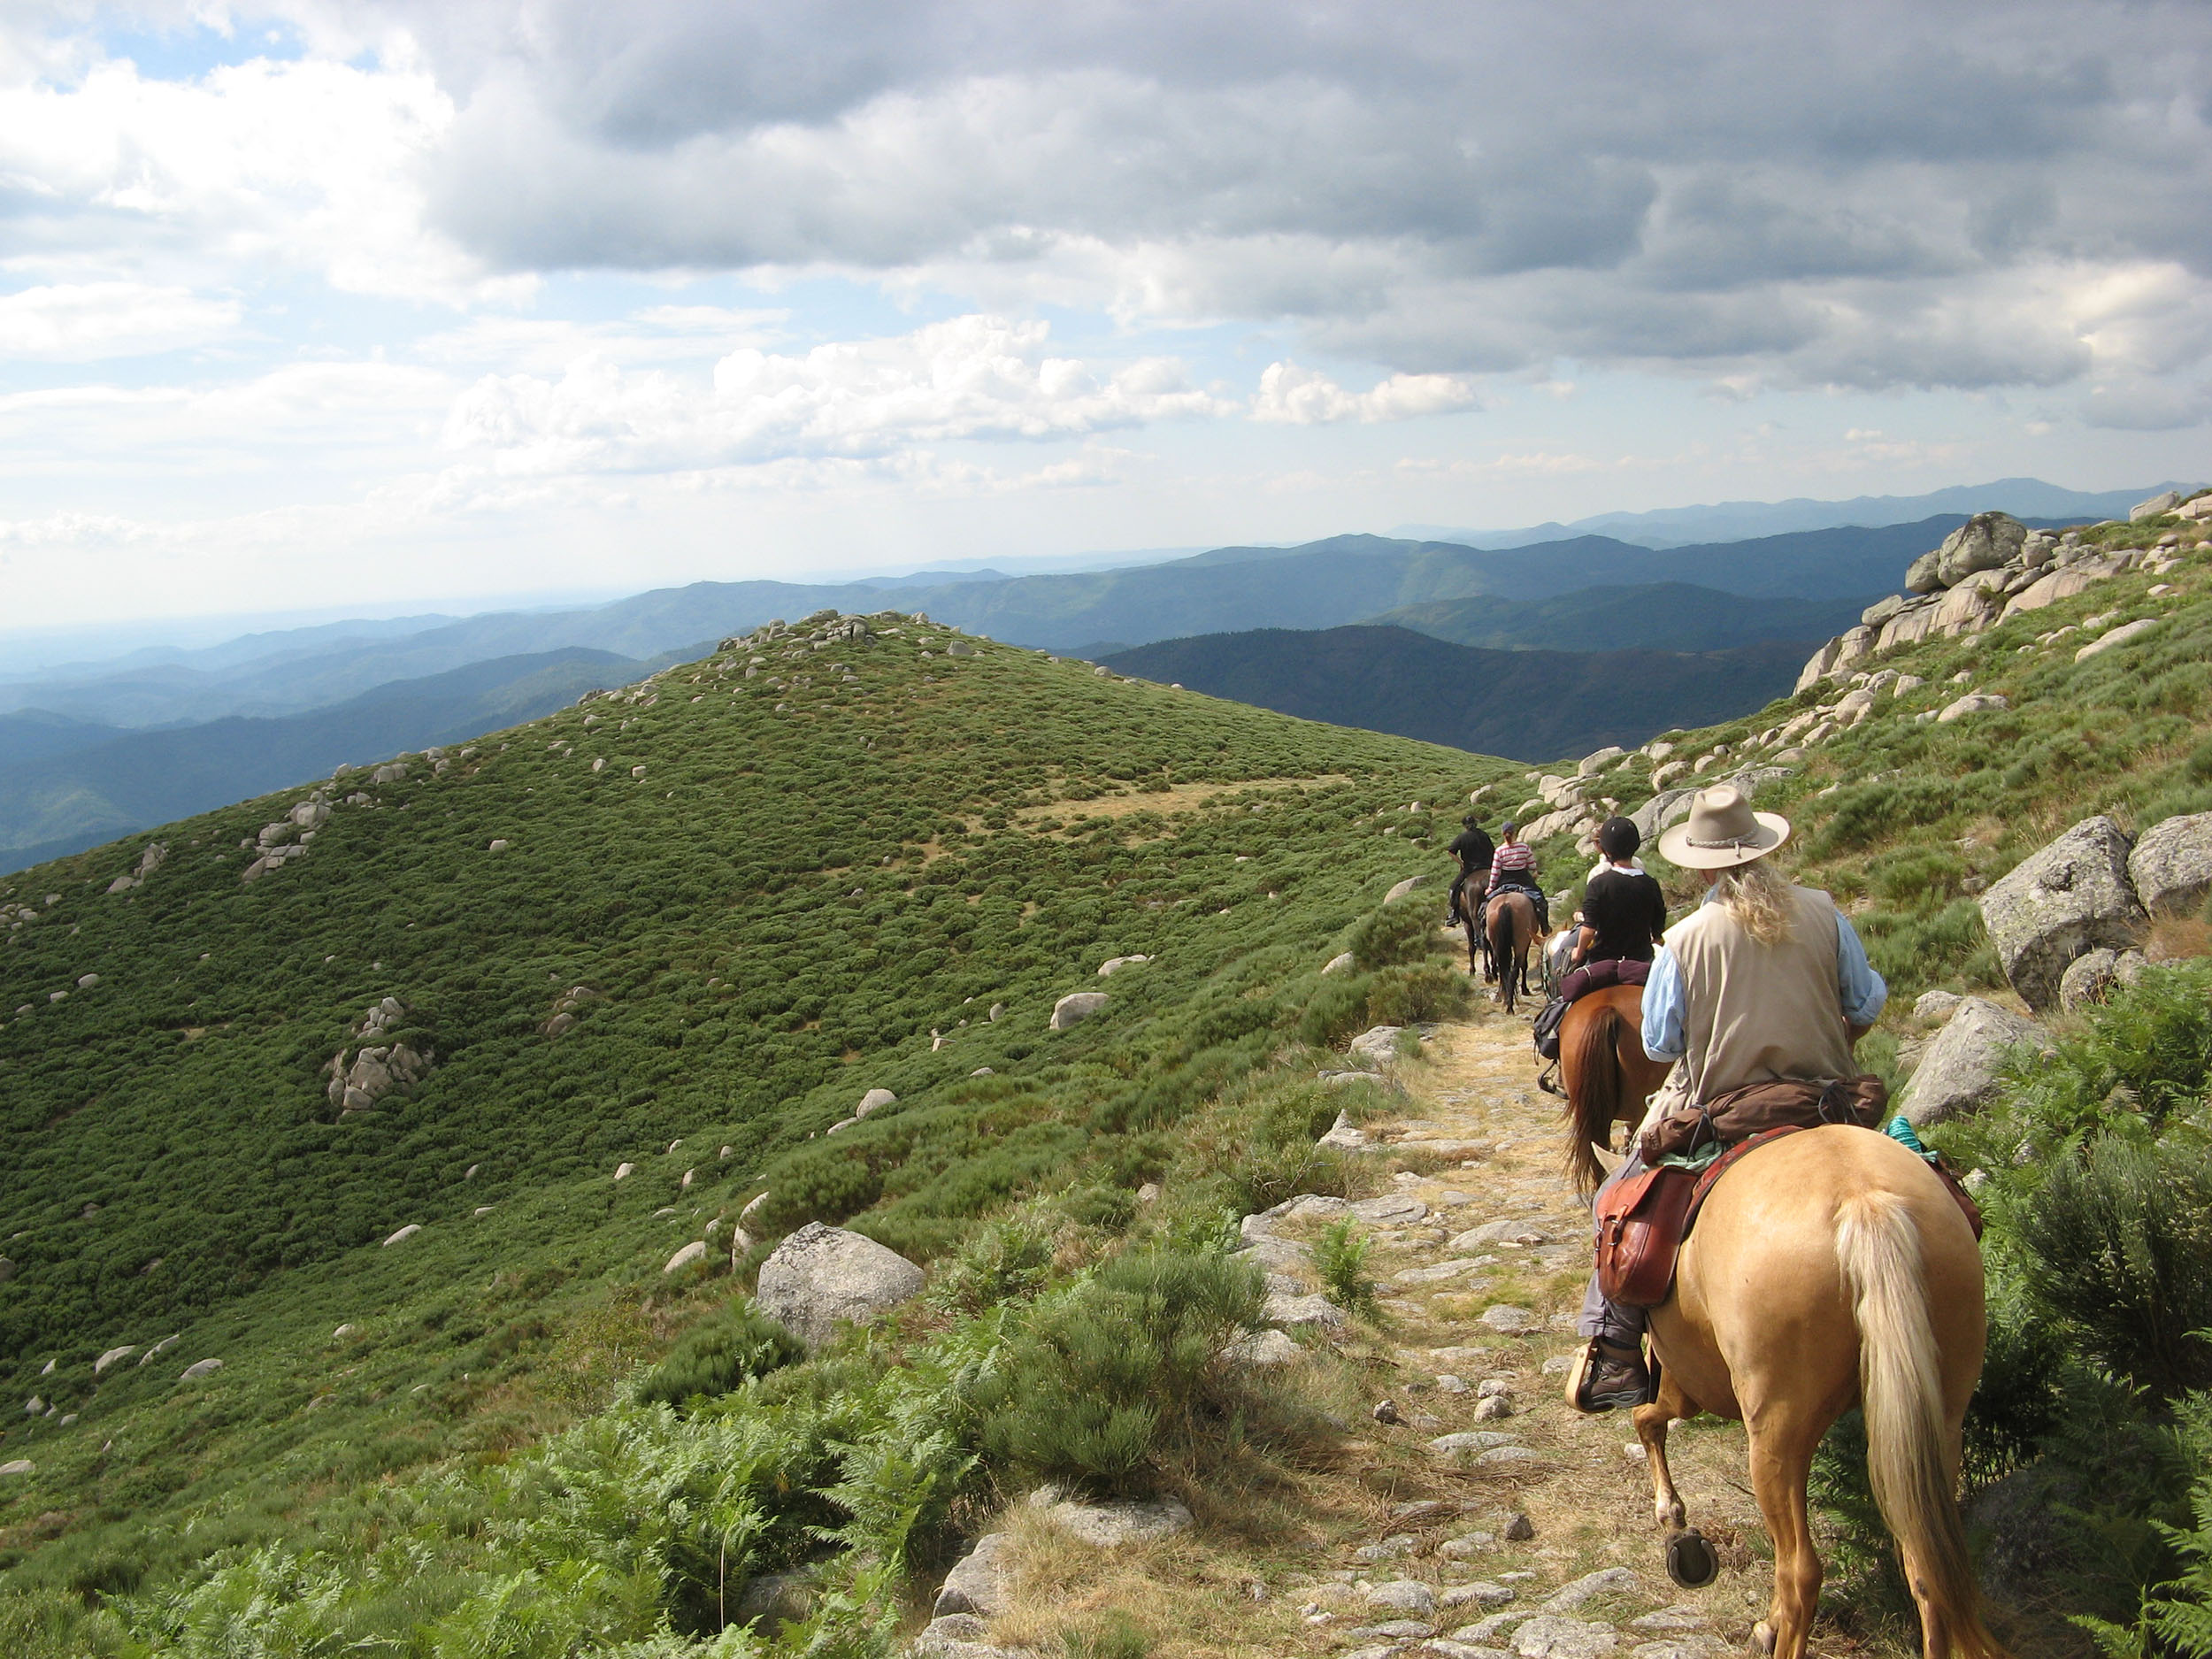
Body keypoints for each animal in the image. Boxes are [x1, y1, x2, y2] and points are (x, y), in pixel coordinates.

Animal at [1486, 898, 1540, 1013]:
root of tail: (1505, 904)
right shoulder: (1526, 943)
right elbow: (1524, 965)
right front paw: (1525, 989)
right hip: (1520, 945)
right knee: (1514, 972)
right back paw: (1510, 1006)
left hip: (1497, 946)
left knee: (1503, 971)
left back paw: (1502, 997)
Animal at [1610, 1141, 2008, 1659]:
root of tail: (1864, 1203)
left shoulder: (1684, 1380)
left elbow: (1648, 1417)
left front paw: (1676, 1526)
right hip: (1940, 1426)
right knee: (1925, 1568)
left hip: (1775, 1438)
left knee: (1798, 1569)